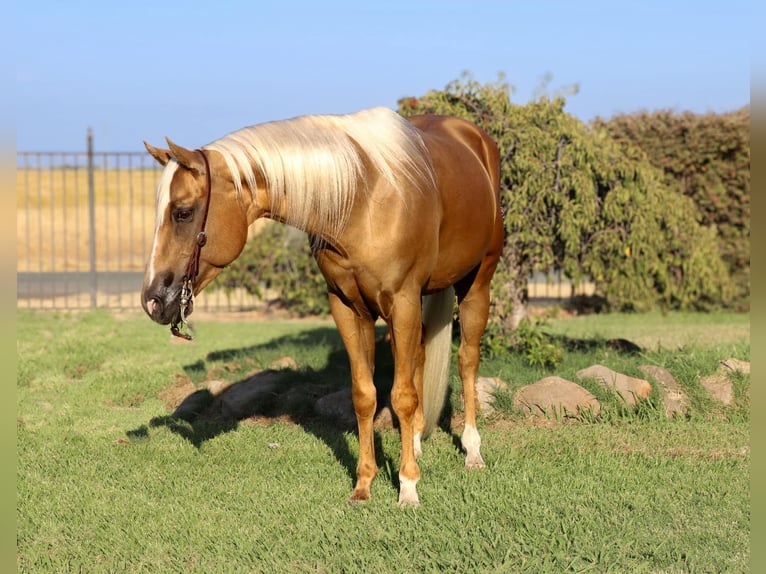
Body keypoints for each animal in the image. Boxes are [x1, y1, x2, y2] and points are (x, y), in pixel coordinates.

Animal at [141, 107, 504, 506]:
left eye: (183, 212)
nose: (153, 299)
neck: (361, 201)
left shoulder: (403, 300)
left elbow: (403, 396)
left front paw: (408, 486)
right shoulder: (348, 307)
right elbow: (365, 395)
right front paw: (364, 484)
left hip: (476, 285)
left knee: (467, 360)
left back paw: (472, 451)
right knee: (420, 357)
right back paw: (417, 442)